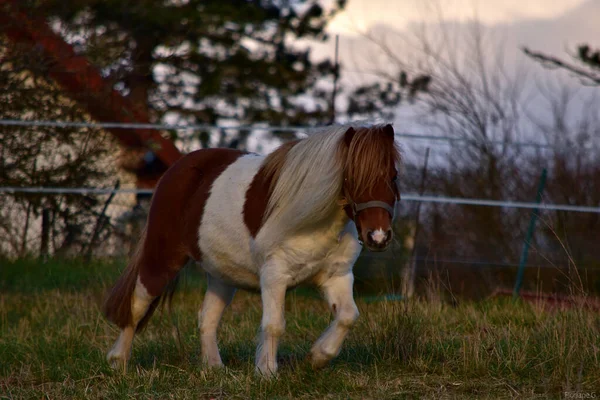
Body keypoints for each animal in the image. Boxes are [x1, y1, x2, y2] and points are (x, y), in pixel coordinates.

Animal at [102, 123, 404, 376]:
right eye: (352, 178)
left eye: (393, 176)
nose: (378, 237)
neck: (312, 219)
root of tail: (178, 167)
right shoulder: (274, 276)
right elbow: (274, 324)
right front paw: (267, 373)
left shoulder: (337, 276)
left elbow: (348, 316)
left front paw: (317, 357)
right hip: (163, 258)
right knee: (137, 305)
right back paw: (118, 363)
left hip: (222, 276)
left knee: (207, 318)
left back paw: (214, 368)